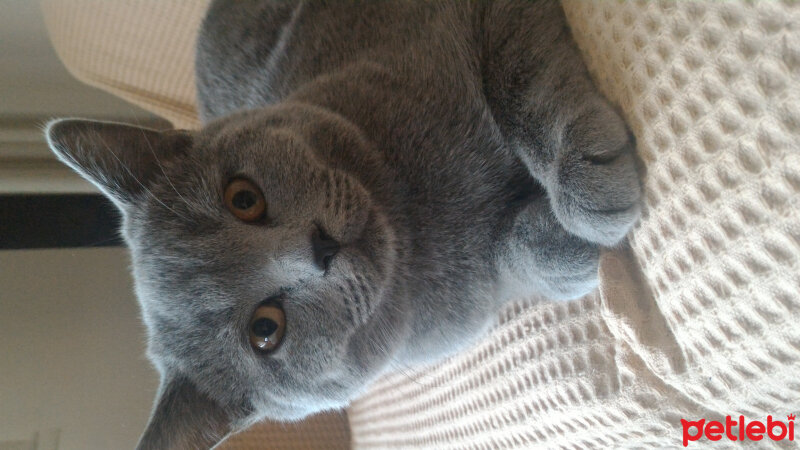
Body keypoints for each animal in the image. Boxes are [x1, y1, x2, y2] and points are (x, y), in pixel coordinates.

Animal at [45, 1, 644, 448]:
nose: (320, 248)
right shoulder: (474, 299)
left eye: (243, 198)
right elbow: (511, 255)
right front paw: (576, 245)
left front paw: (589, 186)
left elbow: (523, 81)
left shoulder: (467, 19)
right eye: (266, 330)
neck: (419, 219)